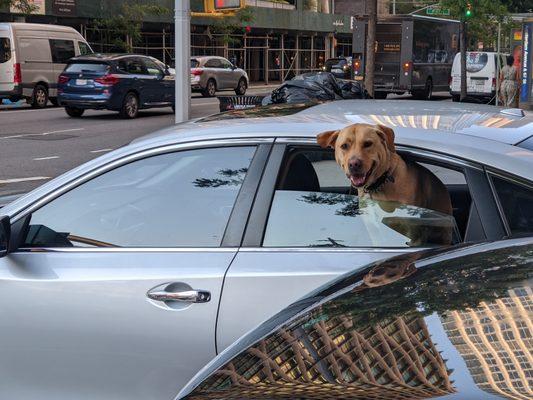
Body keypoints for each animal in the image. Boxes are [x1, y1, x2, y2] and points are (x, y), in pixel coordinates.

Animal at [318, 122, 450, 244]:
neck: (377, 185)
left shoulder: (413, 235)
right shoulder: (374, 229)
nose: (354, 164)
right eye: (344, 146)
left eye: (368, 144)